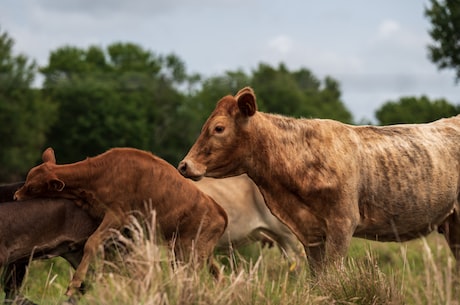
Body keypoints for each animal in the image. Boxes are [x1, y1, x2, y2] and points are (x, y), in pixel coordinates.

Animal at [13, 147, 228, 300]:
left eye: (32, 188)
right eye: (28, 178)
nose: (15, 196)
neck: (97, 176)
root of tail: (219, 210)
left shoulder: (117, 215)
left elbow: (92, 243)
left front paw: (74, 285)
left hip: (191, 255)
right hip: (195, 253)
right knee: (218, 274)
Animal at [178, 86, 460, 274]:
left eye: (219, 128)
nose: (183, 165)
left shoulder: (342, 222)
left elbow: (333, 275)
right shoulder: (310, 233)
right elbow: (317, 278)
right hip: (452, 223)